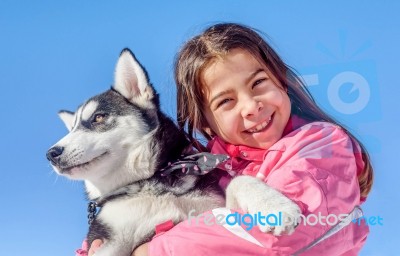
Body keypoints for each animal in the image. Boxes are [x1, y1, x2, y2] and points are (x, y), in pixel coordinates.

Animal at [47, 49, 300, 255]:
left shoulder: (212, 209)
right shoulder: (106, 241)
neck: (153, 181)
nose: (51, 153)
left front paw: (275, 206)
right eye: (73, 128)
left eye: (98, 117)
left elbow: (239, 182)